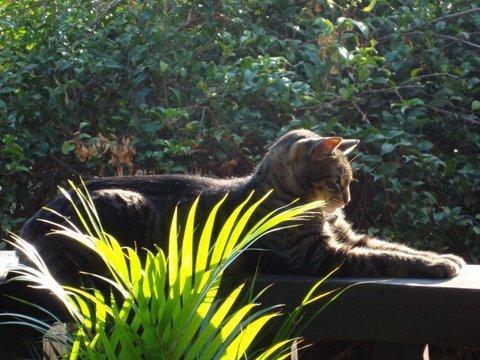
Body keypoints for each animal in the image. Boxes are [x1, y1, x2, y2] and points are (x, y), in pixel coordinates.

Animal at [19, 128, 464, 282]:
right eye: (339, 181)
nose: (349, 200)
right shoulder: (324, 256)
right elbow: (391, 258)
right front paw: (440, 265)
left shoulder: (352, 239)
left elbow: (400, 248)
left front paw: (444, 256)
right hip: (126, 203)